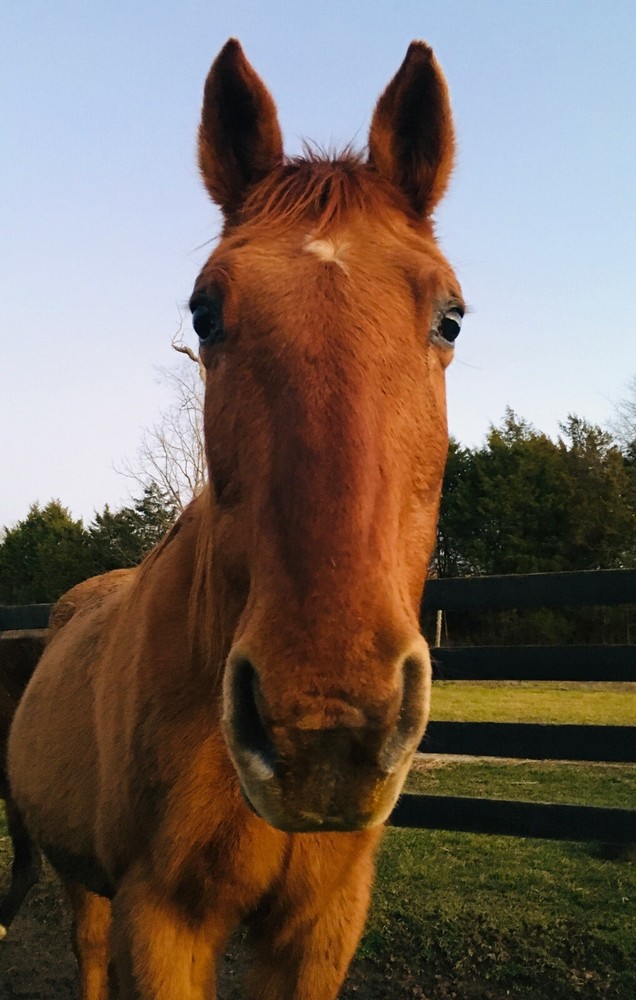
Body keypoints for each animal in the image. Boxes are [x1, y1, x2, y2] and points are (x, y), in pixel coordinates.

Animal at [8, 38, 463, 999]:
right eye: (204, 312)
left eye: (450, 319)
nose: (323, 726)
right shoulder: (164, 921)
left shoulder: (320, 928)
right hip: (82, 879)